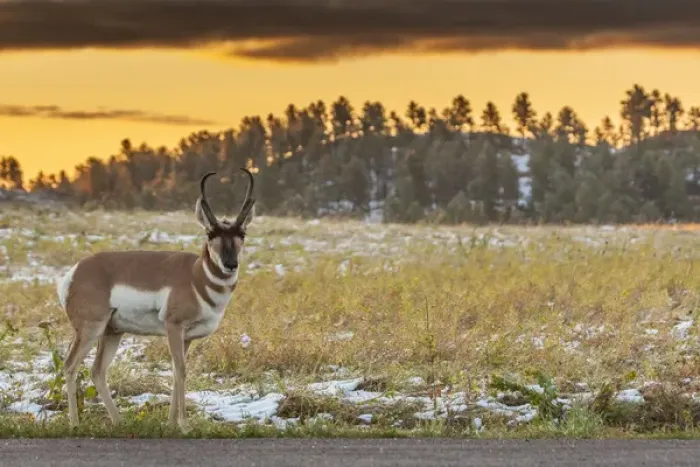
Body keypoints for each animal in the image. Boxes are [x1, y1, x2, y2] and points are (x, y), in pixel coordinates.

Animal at [55, 168, 255, 432]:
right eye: (211, 233)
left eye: (241, 233)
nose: (230, 264)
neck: (195, 276)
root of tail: (75, 271)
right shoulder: (174, 327)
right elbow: (181, 371)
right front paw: (184, 425)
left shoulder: (186, 338)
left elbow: (176, 372)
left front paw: (171, 424)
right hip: (91, 330)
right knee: (70, 365)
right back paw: (75, 424)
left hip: (112, 332)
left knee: (97, 371)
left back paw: (120, 422)